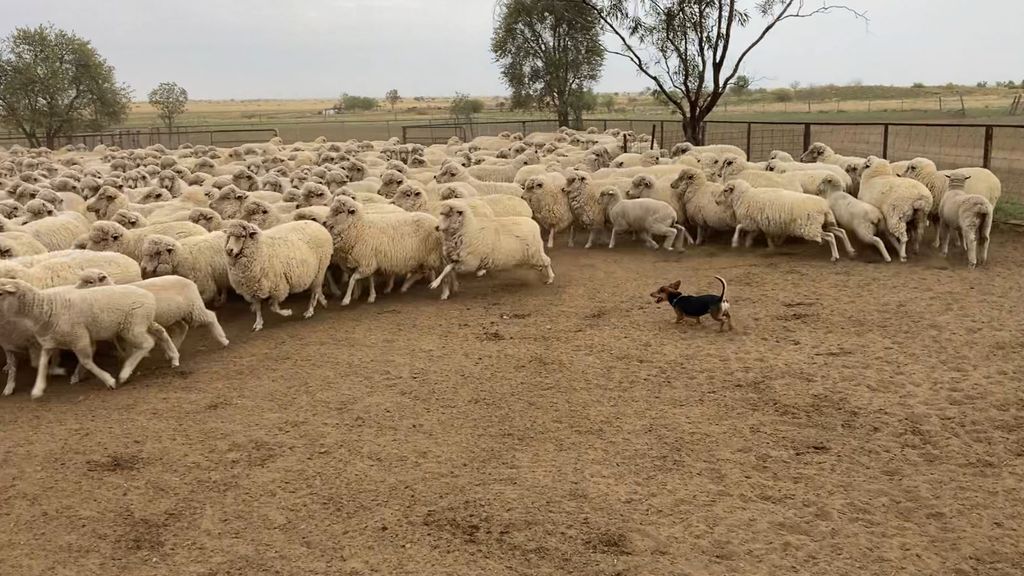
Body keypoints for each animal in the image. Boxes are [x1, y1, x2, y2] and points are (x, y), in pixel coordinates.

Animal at [0, 278, 178, 398]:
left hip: (133, 326)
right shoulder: (50, 343)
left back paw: (125, 372)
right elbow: (43, 364)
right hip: (142, 322)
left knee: (147, 343)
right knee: (160, 332)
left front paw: (109, 381)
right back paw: (174, 357)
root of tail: (149, 296)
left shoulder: (79, 338)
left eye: (1, 292)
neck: (48, 308)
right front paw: (38, 389)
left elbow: (86, 361)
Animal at [76, 270, 229, 348]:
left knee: (210, 317)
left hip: (194, 307)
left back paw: (223, 339)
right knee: (182, 328)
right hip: (173, 314)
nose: (74, 290)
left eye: (90, 282)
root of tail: (190, 281)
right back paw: (175, 346)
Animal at [717, 180, 853, 262]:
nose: (716, 201)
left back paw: (835, 256)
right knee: (841, 232)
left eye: (725, 190)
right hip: (824, 224)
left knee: (830, 236)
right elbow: (763, 236)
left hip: (810, 228)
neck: (744, 196)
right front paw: (765, 246)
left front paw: (735, 242)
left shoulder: (749, 222)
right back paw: (850, 250)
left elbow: (738, 227)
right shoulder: (760, 224)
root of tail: (825, 206)